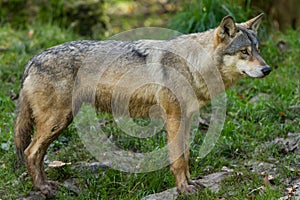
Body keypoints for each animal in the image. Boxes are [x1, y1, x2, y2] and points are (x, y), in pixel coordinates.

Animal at [14, 13, 272, 197]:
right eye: (244, 52)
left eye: (258, 50)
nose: (267, 69)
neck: (194, 64)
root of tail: (32, 60)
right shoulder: (174, 118)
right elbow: (178, 159)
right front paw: (183, 189)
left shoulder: (187, 119)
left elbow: (186, 154)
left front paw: (191, 183)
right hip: (58, 121)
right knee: (30, 152)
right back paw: (43, 189)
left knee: (34, 153)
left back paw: (46, 186)